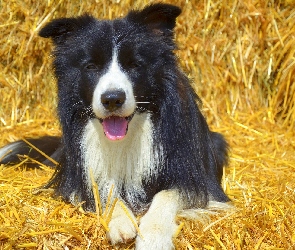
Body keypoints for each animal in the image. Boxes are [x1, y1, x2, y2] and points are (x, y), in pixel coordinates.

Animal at [0, 2, 230, 249]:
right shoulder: (78, 177)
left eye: (134, 65)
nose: (112, 99)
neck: (130, 135)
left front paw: (153, 237)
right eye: (91, 66)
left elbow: (167, 195)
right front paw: (120, 222)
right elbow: (104, 189)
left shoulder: (194, 175)